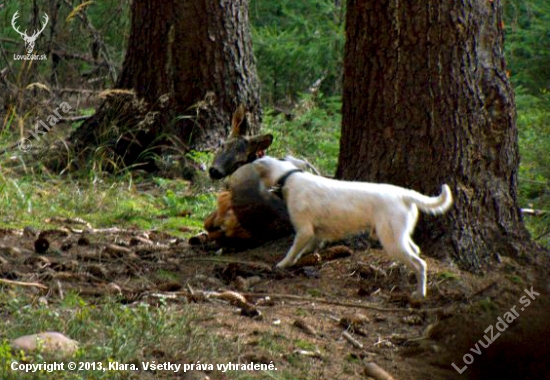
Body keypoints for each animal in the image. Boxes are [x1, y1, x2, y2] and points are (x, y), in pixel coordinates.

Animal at [252, 156, 454, 298]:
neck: (290, 177)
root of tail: (405, 194)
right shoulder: (315, 233)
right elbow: (310, 247)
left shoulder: (304, 231)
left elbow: (293, 251)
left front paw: (283, 264)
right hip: (399, 235)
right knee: (416, 251)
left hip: (391, 239)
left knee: (420, 264)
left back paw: (420, 294)